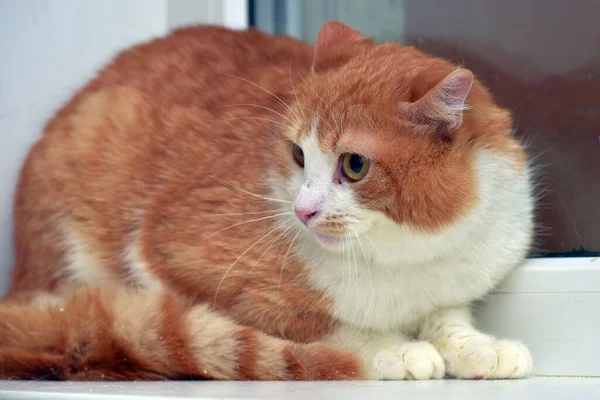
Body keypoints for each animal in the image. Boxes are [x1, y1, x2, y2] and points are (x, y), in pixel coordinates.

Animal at [0, 21, 536, 382]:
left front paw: (478, 347)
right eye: (298, 153)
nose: (302, 211)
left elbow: (448, 315)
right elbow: (320, 323)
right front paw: (396, 349)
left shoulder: (455, 278)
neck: (403, 256)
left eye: (354, 165)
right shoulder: (170, 254)